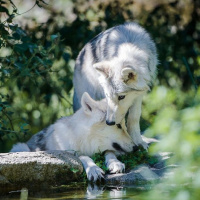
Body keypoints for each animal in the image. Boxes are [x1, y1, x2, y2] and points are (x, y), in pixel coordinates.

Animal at [73, 22, 158, 150]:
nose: (109, 122)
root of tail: (79, 56)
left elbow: (133, 118)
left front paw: (138, 141)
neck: (129, 45)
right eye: (108, 96)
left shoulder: (139, 95)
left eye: (122, 97)